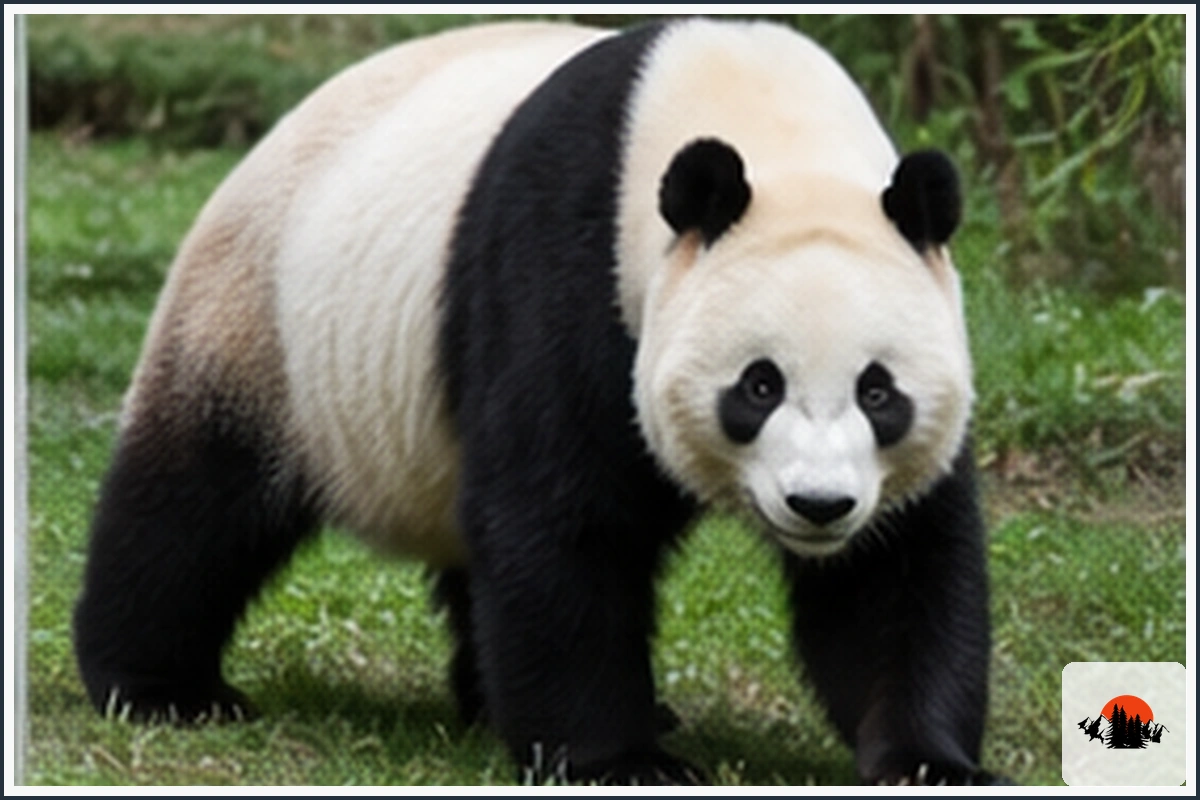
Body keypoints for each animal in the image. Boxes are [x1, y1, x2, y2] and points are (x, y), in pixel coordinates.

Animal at [73, 18, 1000, 785]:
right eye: (759, 384)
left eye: (878, 391)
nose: (818, 505)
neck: (772, 128)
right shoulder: (570, 262)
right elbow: (559, 518)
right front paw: (620, 763)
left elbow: (894, 571)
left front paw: (927, 762)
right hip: (260, 324)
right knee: (193, 506)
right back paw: (161, 688)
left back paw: (492, 698)